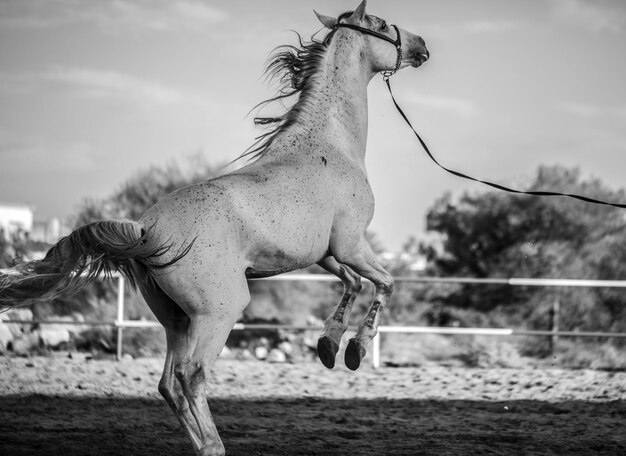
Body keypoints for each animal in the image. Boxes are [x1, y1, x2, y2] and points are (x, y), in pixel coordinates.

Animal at [0, 1, 426, 454]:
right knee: (192, 375)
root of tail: (146, 229)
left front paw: (329, 345)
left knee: (168, 383)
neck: (329, 146)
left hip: (176, 318)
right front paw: (355, 350)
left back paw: (206, 445)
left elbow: (352, 283)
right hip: (218, 313)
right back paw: (215, 444)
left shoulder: (324, 255)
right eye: (379, 23)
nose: (421, 45)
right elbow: (384, 283)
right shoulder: (350, 244)